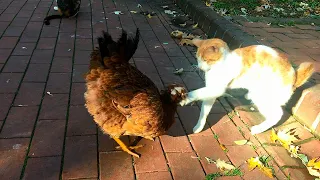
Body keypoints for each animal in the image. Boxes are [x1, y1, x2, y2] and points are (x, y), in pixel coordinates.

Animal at [180, 38, 316, 134]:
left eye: (206, 59)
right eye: (198, 58)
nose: (199, 66)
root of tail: (294, 75)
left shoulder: (216, 89)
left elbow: (196, 92)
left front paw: (185, 98)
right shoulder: (211, 93)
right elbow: (204, 111)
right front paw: (199, 127)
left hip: (262, 98)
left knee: (277, 114)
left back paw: (258, 129)